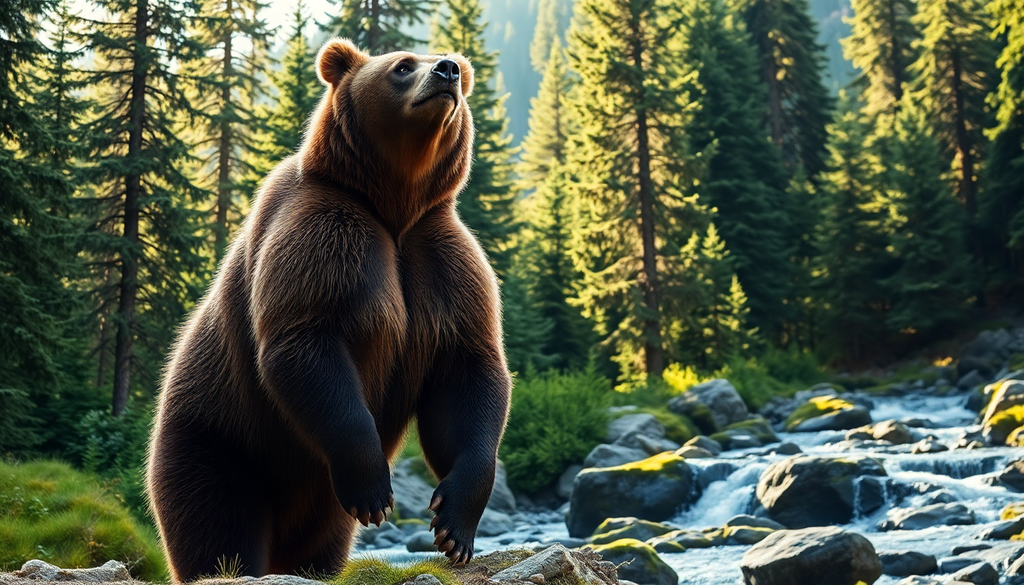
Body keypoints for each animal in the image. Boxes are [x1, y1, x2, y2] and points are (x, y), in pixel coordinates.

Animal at [146, 38, 511, 582]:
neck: (393, 206)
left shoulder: (442, 263)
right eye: (403, 65)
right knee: (216, 522)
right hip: (219, 435)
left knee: (321, 546)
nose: (447, 71)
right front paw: (373, 491)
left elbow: (468, 372)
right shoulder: (325, 235)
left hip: (320, 510)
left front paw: (453, 526)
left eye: (449, 66)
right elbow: (307, 342)